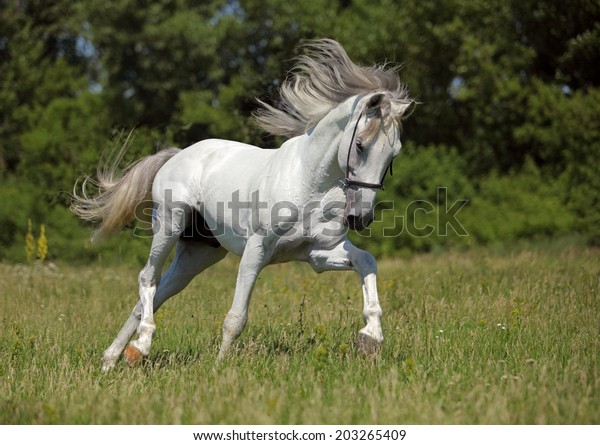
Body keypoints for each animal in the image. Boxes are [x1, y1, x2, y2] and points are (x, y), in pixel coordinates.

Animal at [72, 40, 414, 370]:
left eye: (393, 154)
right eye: (360, 145)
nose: (359, 218)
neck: (309, 184)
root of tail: (178, 154)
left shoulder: (318, 253)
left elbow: (367, 261)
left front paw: (370, 339)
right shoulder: (257, 249)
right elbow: (236, 317)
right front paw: (219, 369)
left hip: (198, 254)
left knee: (157, 294)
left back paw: (112, 359)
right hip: (170, 224)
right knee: (147, 278)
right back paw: (140, 347)